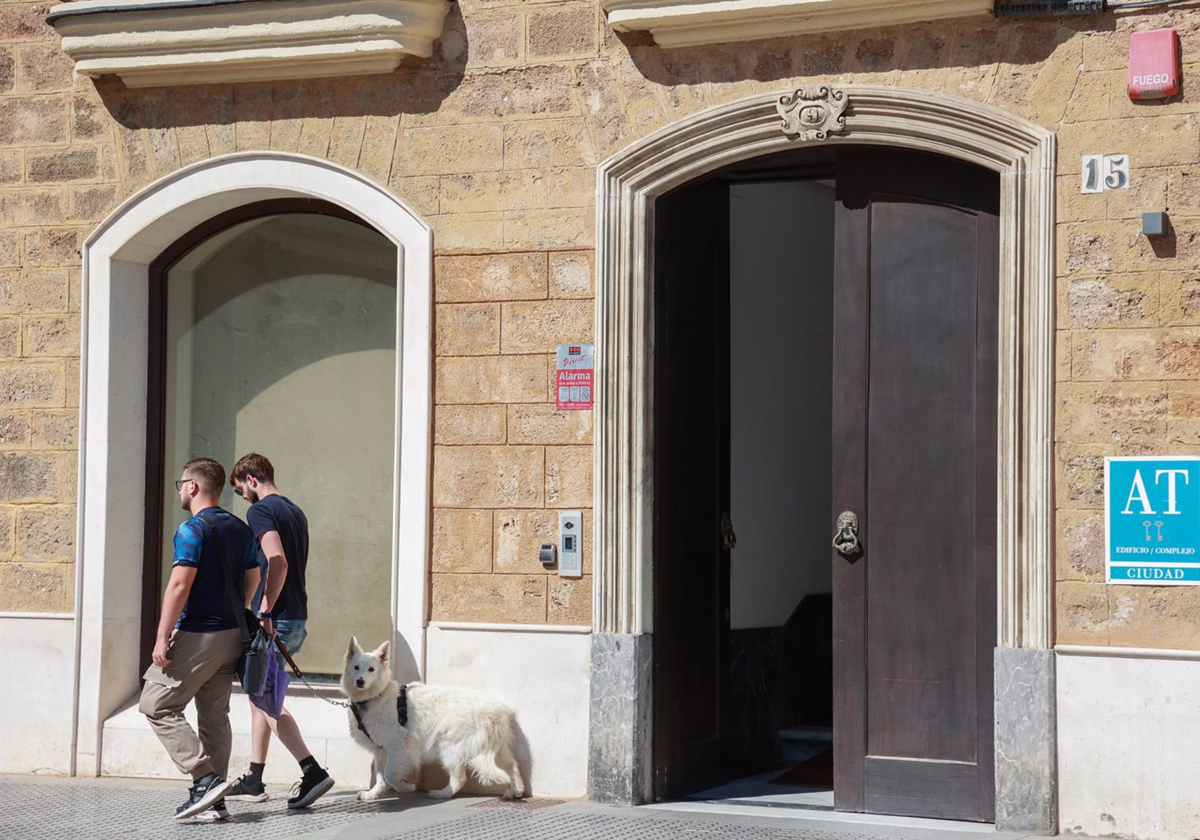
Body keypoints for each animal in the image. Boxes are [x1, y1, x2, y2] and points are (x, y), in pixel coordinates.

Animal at [338, 638, 525, 801]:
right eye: (356, 667)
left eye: (371, 669)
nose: (360, 681)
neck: (375, 696)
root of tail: (498, 711)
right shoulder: (382, 749)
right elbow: (381, 777)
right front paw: (373, 794)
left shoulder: (398, 744)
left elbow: (389, 774)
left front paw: (405, 787)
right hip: (497, 749)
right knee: (513, 767)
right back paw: (515, 791)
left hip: (450, 747)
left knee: (459, 778)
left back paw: (442, 794)